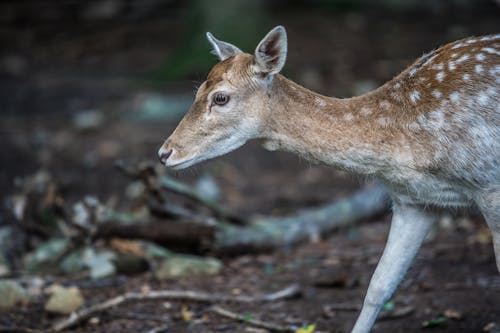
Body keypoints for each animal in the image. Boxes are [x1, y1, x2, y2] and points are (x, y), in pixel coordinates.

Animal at [157, 26, 500, 332]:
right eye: (197, 91)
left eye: (221, 98)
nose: (164, 152)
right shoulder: (416, 200)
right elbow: (378, 285)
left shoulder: (490, 188)